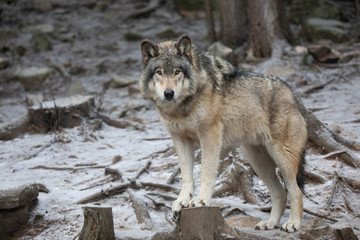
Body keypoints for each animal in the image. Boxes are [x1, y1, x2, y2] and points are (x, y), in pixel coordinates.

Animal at [138, 34, 306, 232]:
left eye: (177, 71)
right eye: (159, 72)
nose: (169, 93)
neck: (181, 108)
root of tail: (294, 95)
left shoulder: (209, 135)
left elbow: (206, 172)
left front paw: (201, 200)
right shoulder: (180, 139)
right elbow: (186, 175)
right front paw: (182, 201)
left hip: (281, 158)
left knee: (296, 192)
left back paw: (293, 223)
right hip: (258, 162)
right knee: (280, 193)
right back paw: (270, 224)